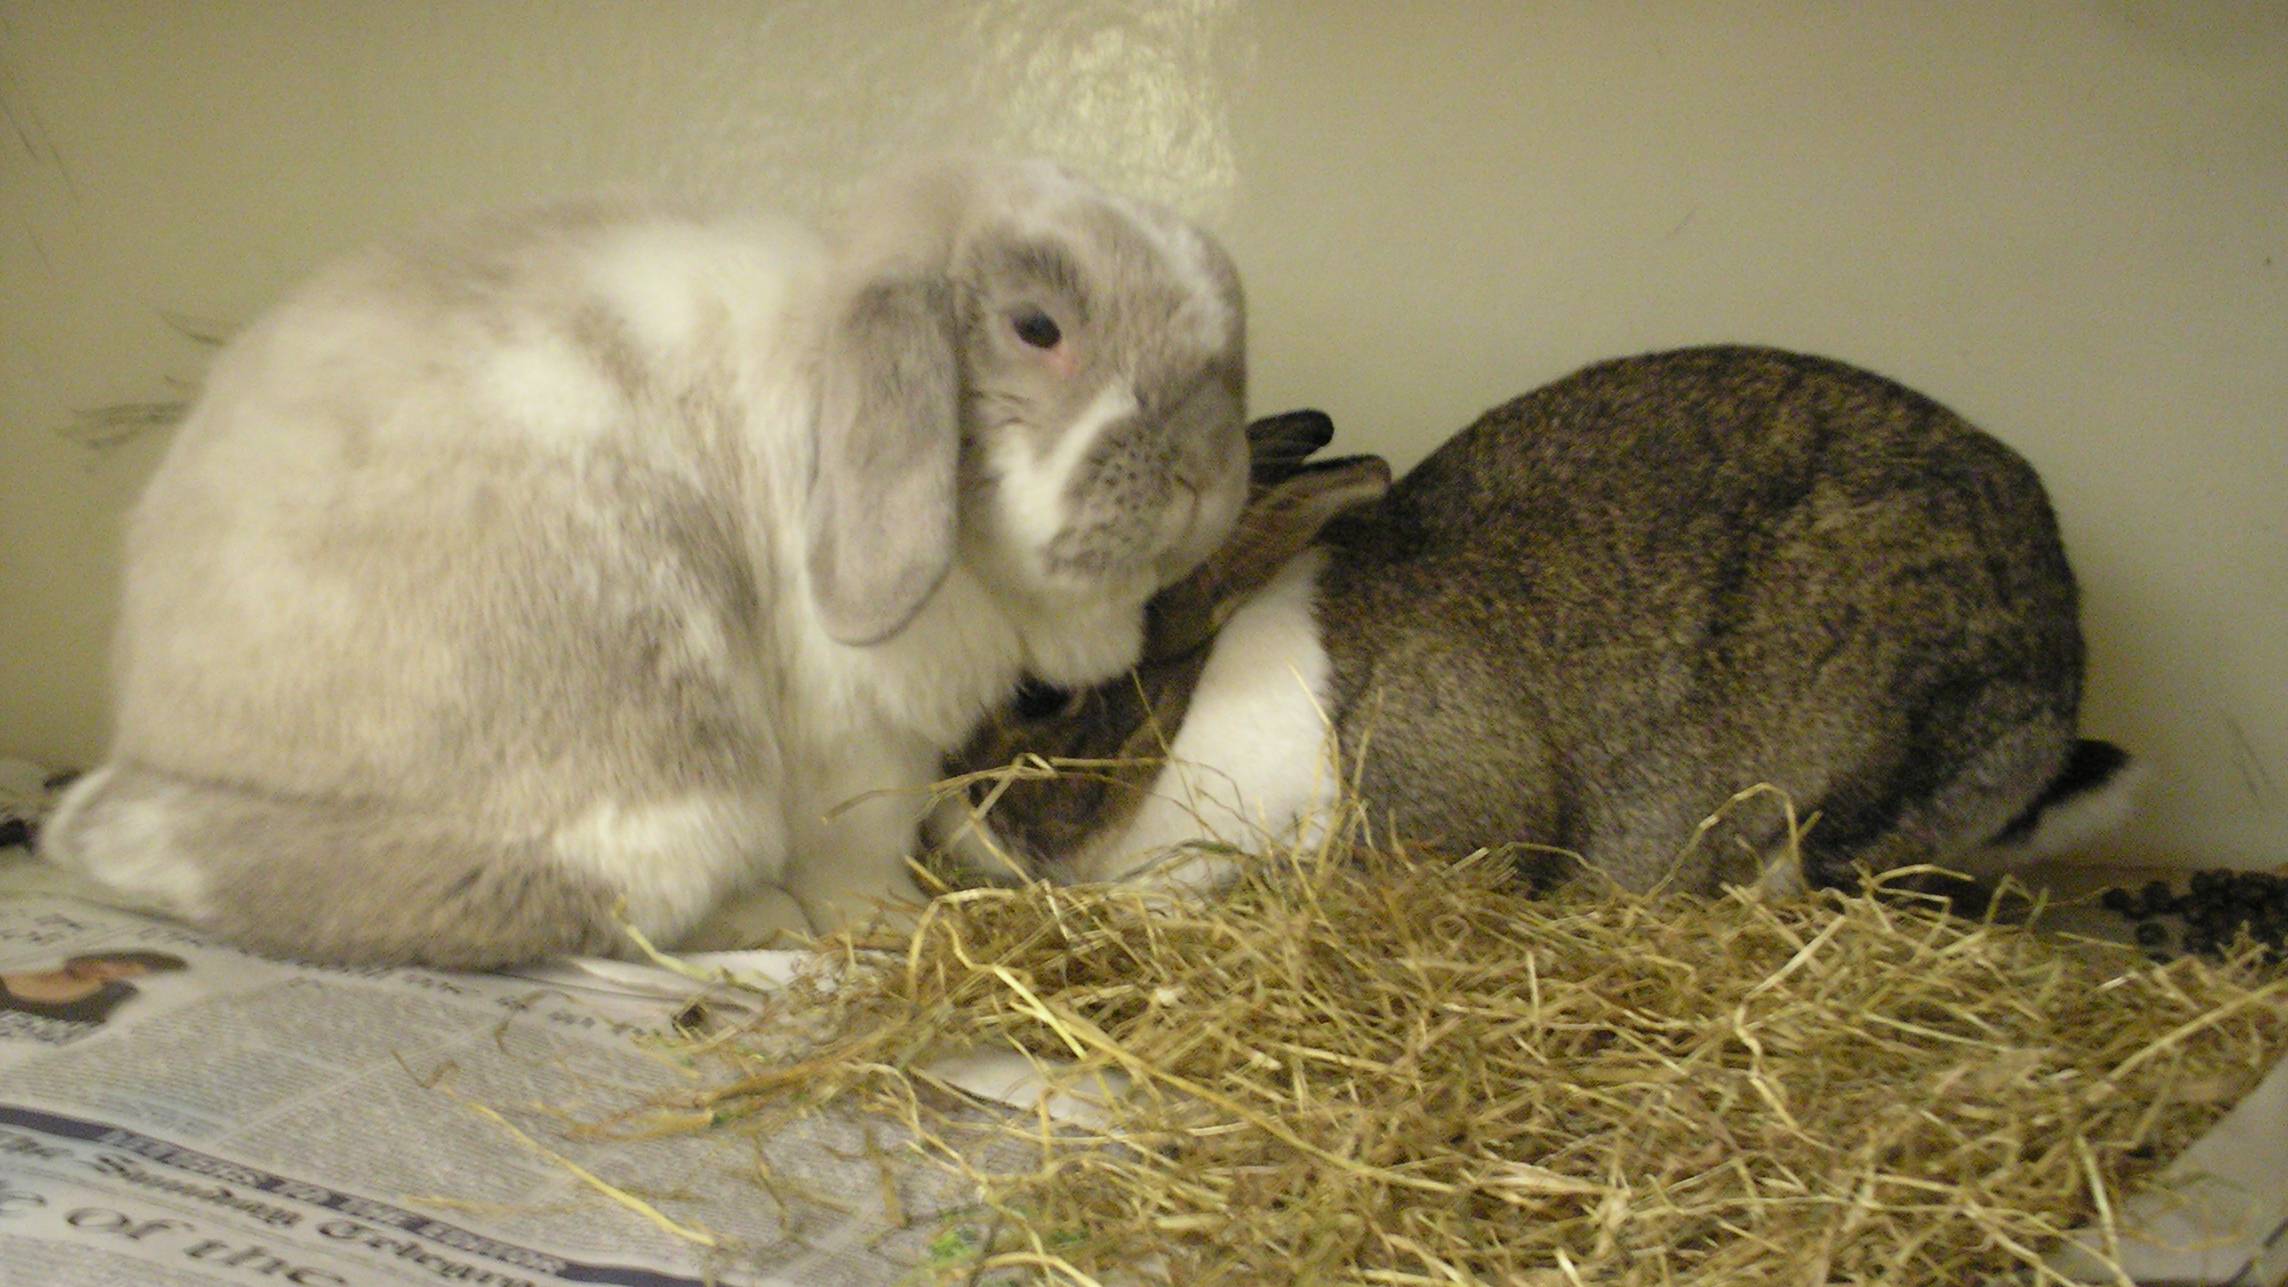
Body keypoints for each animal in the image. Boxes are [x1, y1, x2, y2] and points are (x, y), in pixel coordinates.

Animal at [40, 155, 1254, 969]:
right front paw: (887, 926)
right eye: (1037, 327)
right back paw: (766, 925)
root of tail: (163, 734)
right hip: (664, 759)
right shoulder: (855, 745)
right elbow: (859, 848)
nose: (1204, 466)